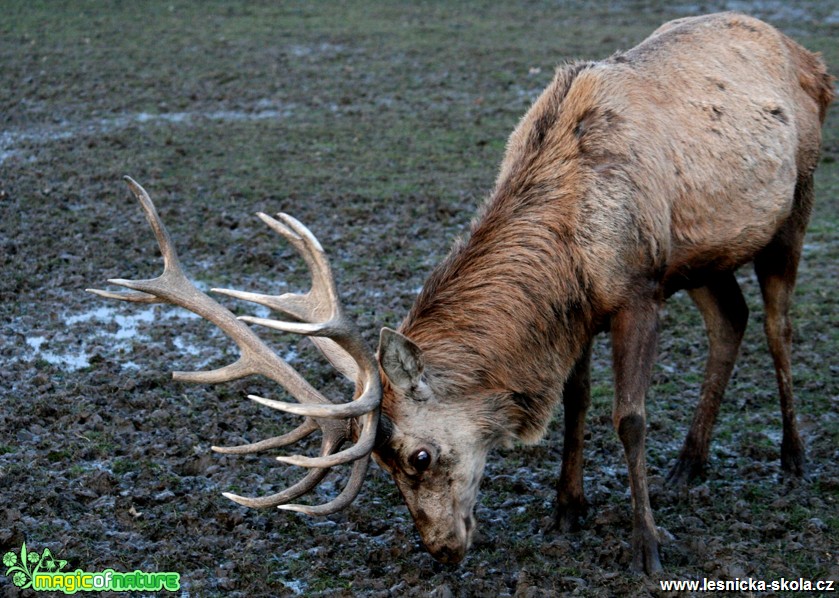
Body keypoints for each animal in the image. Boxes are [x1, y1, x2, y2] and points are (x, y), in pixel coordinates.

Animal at [92, 12, 832, 576]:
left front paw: (645, 545)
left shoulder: (637, 291)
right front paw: (566, 511)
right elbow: (575, 402)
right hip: (705, 252)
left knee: (777, 324)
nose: (440, 549)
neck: (570, 245)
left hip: (795, 201)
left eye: (417, 456)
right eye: (384, 463)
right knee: (730, 319)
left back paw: (792, 459)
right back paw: (690, 464)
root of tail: (811, 58)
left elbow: (629, 418)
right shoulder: (582, 310)